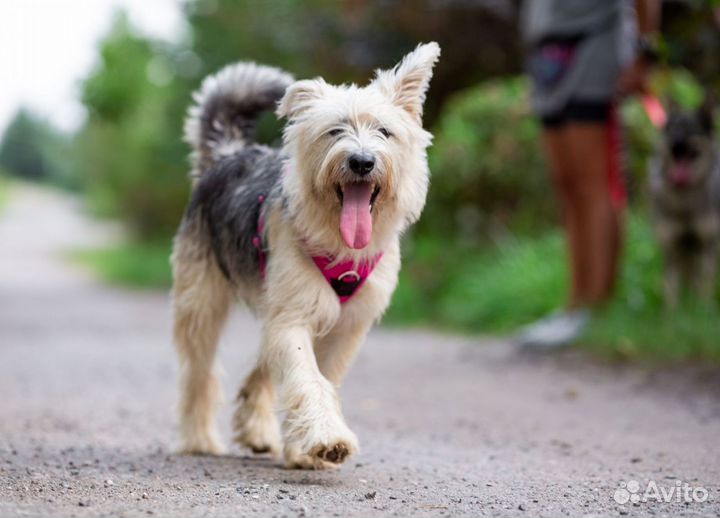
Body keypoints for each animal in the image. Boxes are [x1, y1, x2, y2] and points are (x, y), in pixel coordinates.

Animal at [170, 41, 438, 472]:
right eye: (335, 130)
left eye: (384, 131)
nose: (362, 161)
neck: (341, 243)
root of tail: (227, 155)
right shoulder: (294, 315)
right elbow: (306, 376)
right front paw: (326, 438)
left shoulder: (345, 327)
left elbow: (318, 376)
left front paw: (304, 447)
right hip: (201, 300)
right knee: (199, 372)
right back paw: (200, 439)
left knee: (261, 363)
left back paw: (256, 430)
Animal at [648, 94, 716, 308]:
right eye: (673, 129)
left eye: (691, 130)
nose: (676, 145)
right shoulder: (672, 246)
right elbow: (671, 287)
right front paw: (672, 314)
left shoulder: (706, 244)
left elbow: (705, 283)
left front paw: (703, 309)